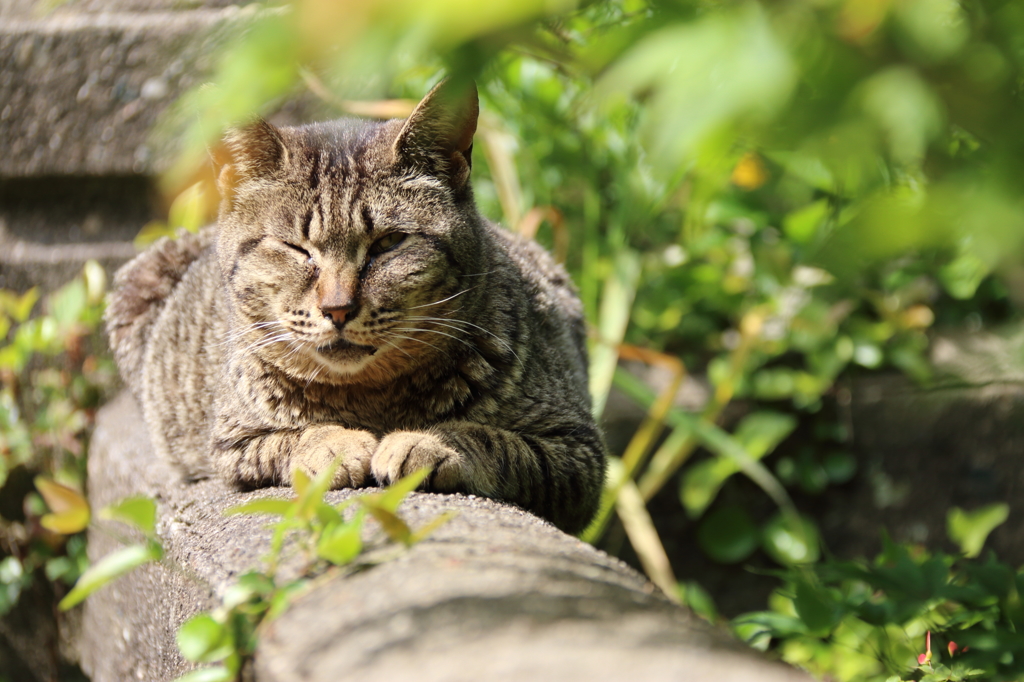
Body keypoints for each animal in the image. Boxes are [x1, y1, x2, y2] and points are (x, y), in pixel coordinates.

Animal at [108, 79, 606, 532]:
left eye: (388, 244)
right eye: (296, 248)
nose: (338, 308)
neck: (371, 397)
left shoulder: (578, 452)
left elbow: (494, 441)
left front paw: (427, 443)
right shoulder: (233, 442)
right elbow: (293, 437)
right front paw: (337, 446)